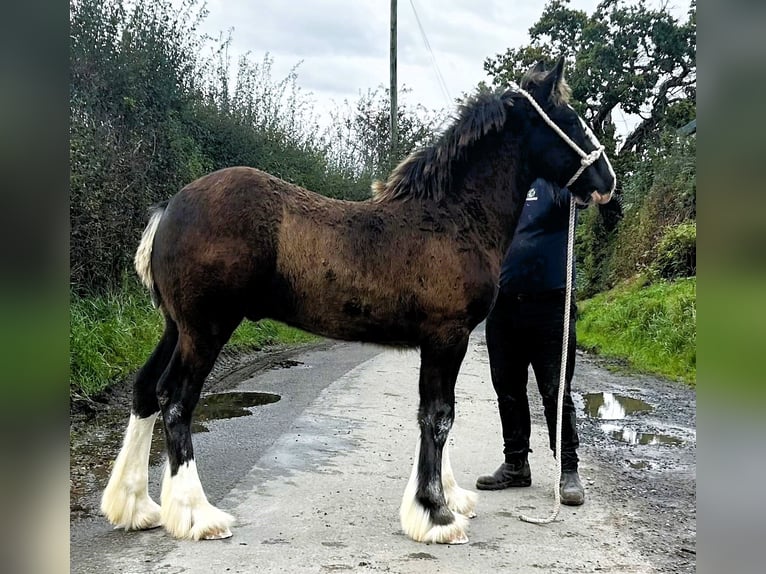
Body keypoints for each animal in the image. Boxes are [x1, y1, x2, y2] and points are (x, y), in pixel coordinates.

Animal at [102, 59, 616, 548]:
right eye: (570, 119)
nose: (607, 181)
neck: (451, 218)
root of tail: (170, 207)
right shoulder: (447, 338)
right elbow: (439, 417)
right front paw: (436, 516)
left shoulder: (444, 343)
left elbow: (436, 415)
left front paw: (446, 499)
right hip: (207, 329)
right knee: (176, 401)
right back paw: (197, 515)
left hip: (177, 327)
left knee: (146, 391)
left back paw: (136, 506)